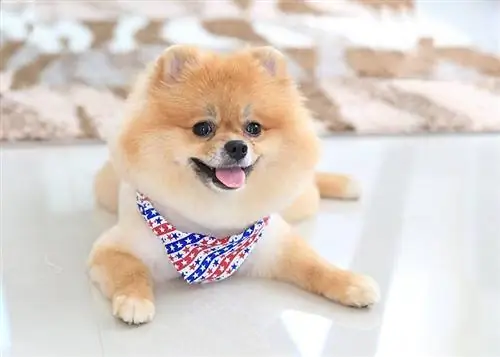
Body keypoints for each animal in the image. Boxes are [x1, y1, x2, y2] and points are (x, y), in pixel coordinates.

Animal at [89, 44, 378, 322]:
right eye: (202, 128)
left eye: (254, 128)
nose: (237, 146)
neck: (215, 223)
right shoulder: (113, 248)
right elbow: (130, 271)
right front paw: (134, 300)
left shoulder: (276, 245)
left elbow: (315, 265)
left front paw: (351, 283)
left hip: (301, 203)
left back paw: (346, 183)